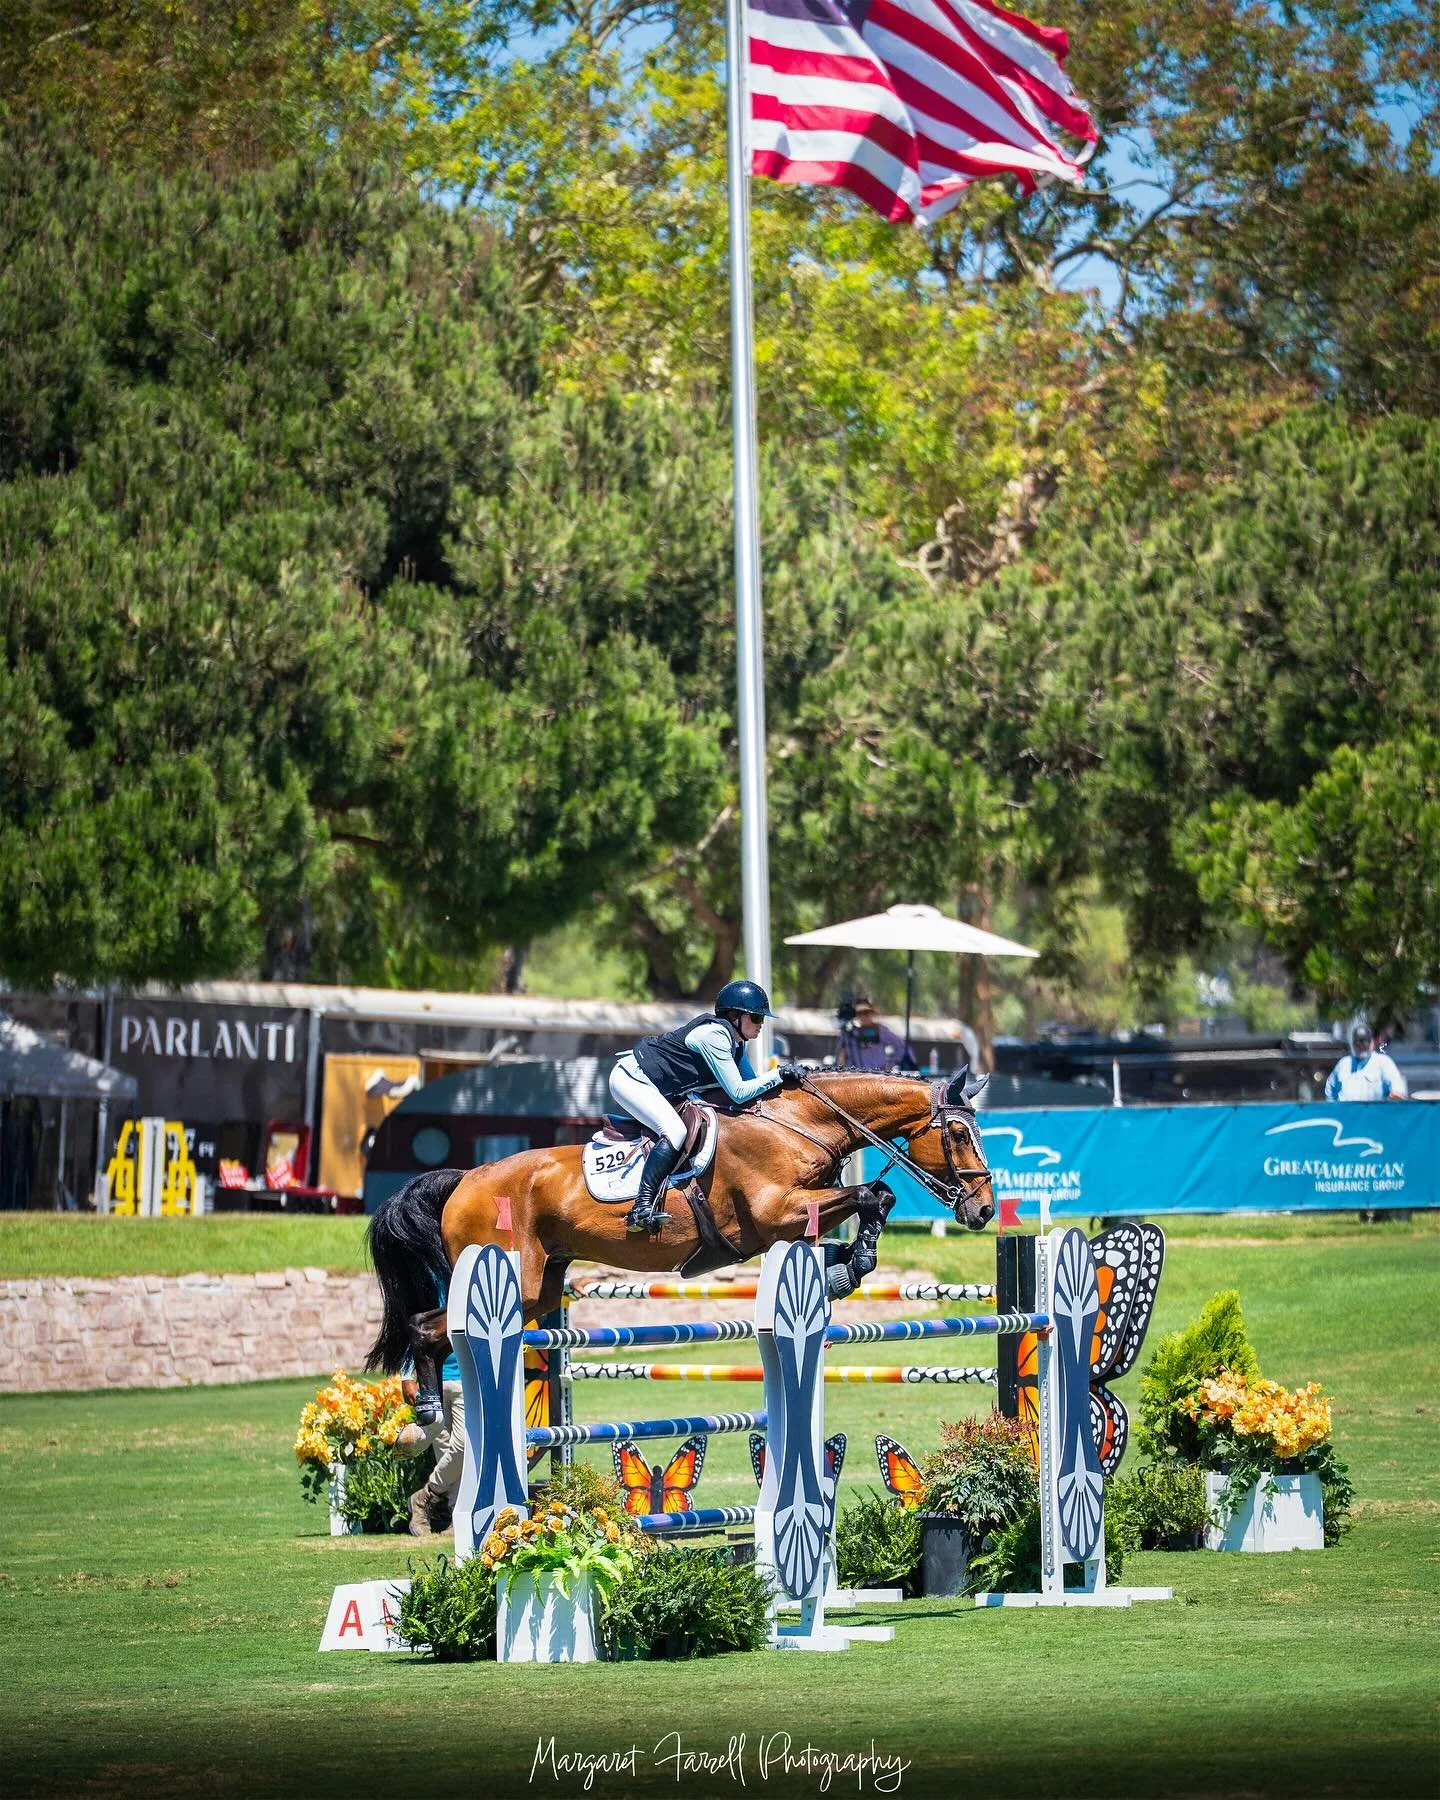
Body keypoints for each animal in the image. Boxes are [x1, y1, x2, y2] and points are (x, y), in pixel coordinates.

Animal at [366, 1068, 994, 1420]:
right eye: (959, 1132)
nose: (985, 1210)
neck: (799, 1123)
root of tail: (465, 1179)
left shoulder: (797, 1213)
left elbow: (872, 1199)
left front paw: (846, 1264)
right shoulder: (775, 1212)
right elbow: (871, 1194)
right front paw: (854, 1262)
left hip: (539, 1288)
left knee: (439, 1327)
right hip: (510, 1276)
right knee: (427, 1327)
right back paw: (428, 1405)